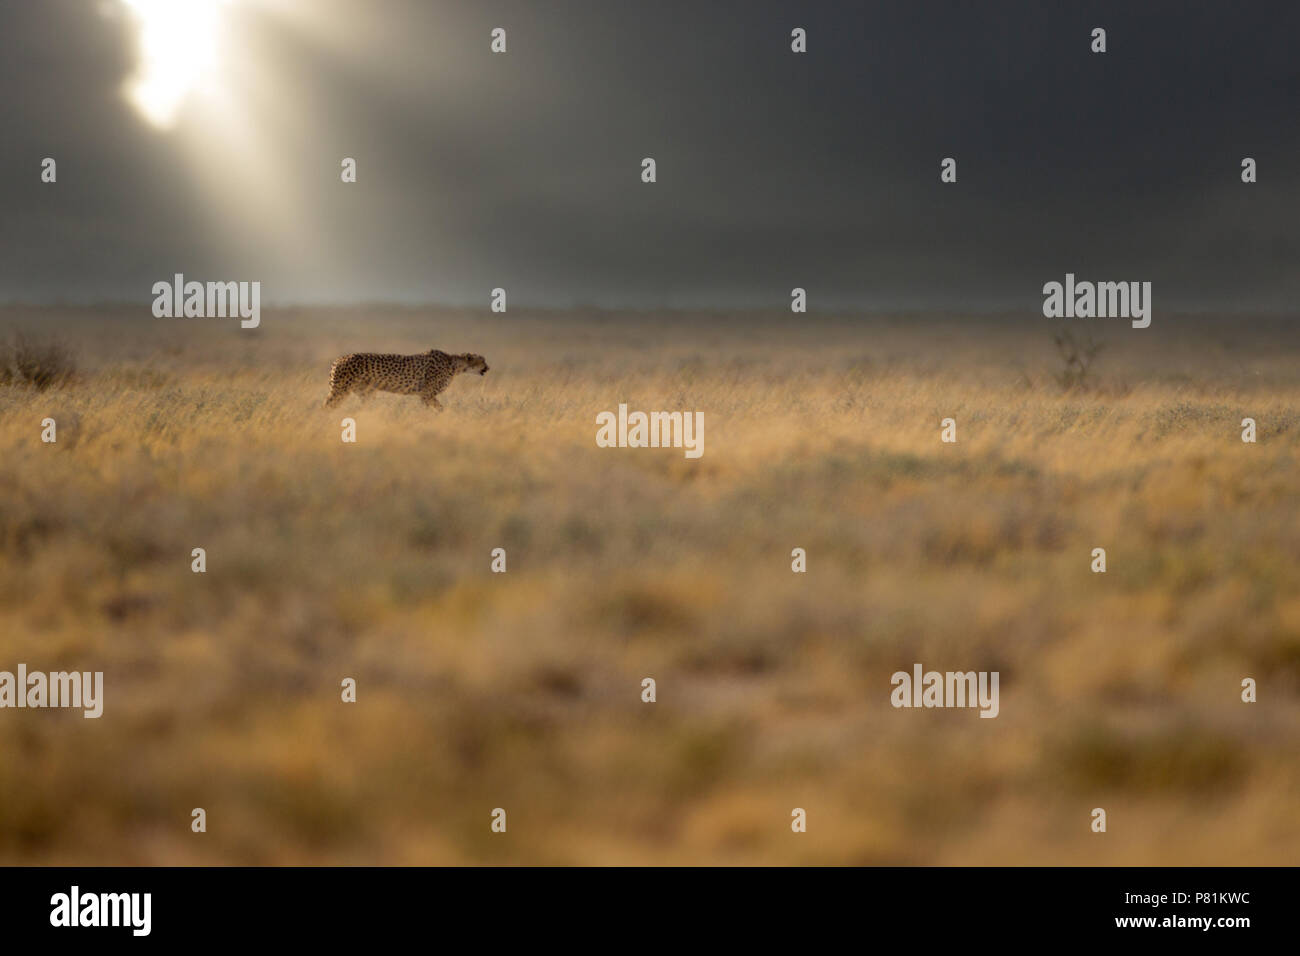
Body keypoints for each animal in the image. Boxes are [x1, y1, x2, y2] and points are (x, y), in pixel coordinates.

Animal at [322, 351, 488, 411]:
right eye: (482, 360)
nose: (488, 367)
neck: (455, 365)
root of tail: (338, 359)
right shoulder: (427, 395)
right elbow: (439, 409)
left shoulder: (425, 396)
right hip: (340, 391)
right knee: (326, 407)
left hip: (366, 393)